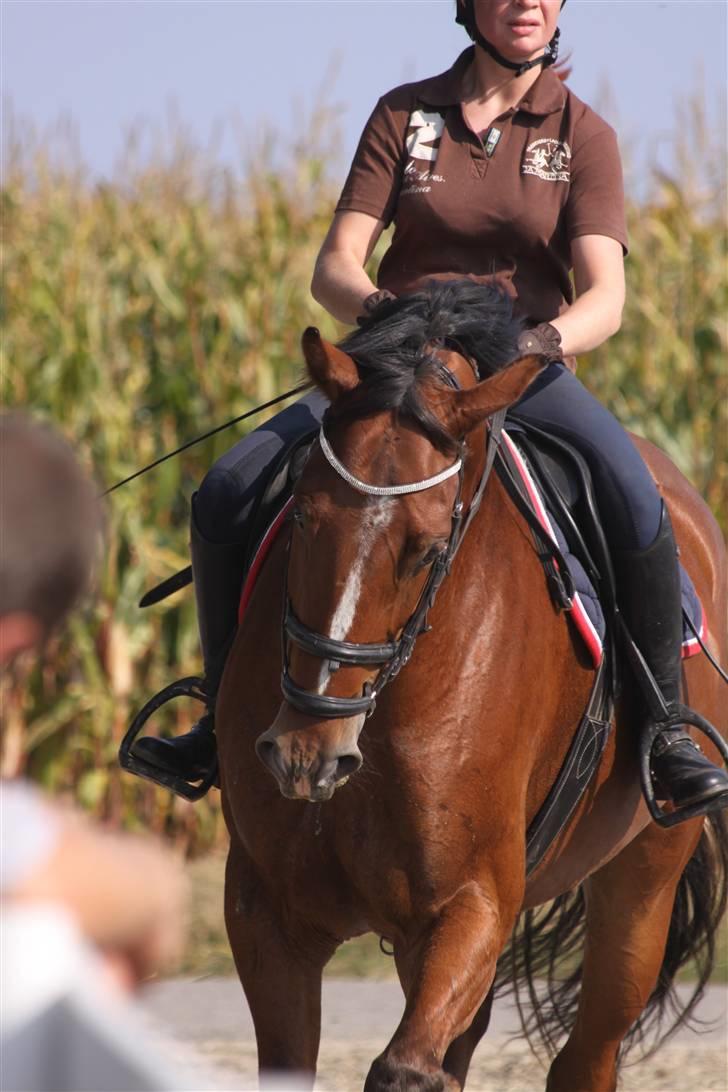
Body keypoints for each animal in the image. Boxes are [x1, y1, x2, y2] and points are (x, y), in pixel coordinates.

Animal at [218, 286, 728, 1087]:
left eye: (428, 549)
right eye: (300, 516)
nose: (306, 755)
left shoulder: (470, 905)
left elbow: (404, 1068)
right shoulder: (266, 913)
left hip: (643, 880)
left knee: (587, 1055)